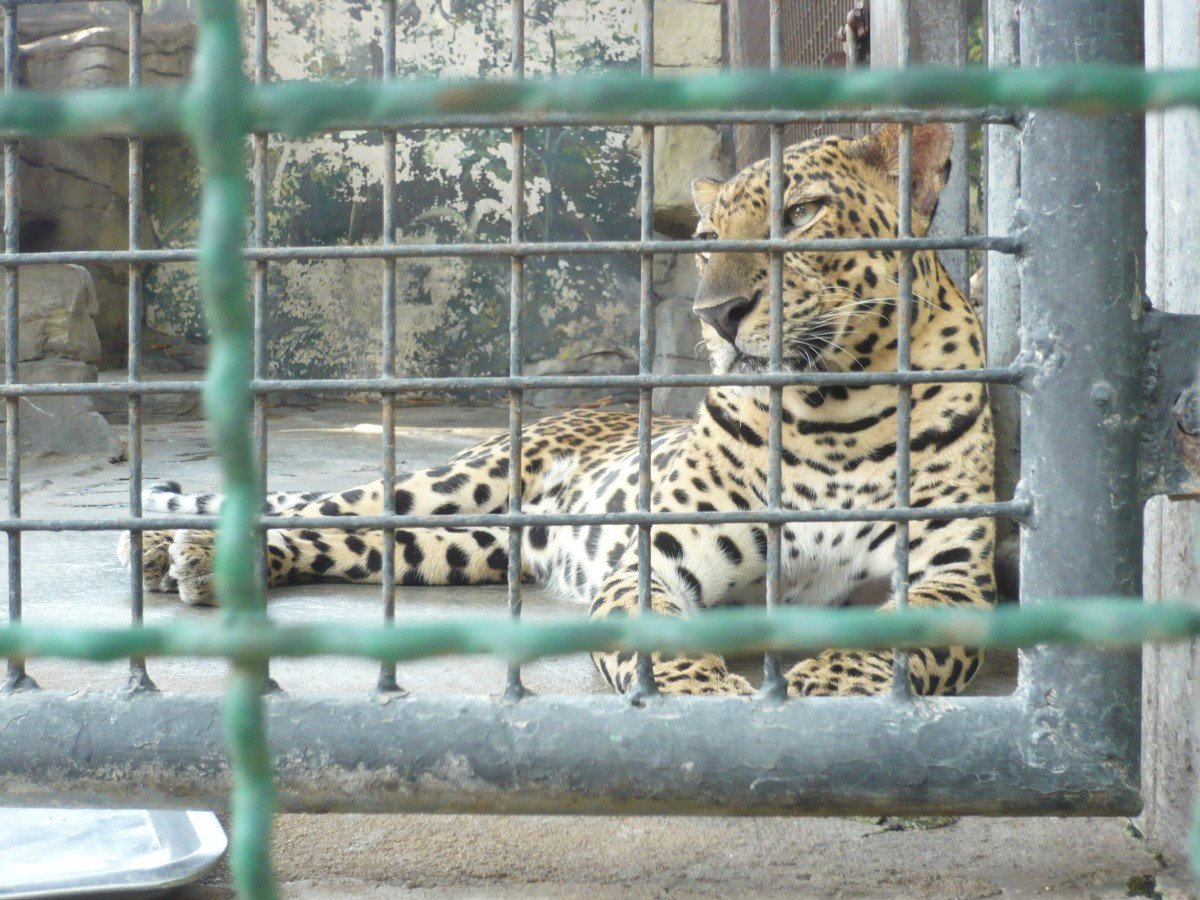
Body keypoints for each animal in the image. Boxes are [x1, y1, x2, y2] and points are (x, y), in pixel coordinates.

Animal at [121, 121, 993, 696]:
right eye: (706, 239)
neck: (833, 409)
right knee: (328, 508)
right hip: (462, 485)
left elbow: (899, 647)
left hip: (472, 544)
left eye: (802, 214)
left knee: (360, 542)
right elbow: (659, 644)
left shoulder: (957, 578)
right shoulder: (656, 557)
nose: (716, 315)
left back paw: (196, 561)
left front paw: (826, 686)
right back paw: (176, 551)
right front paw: (706, 699)